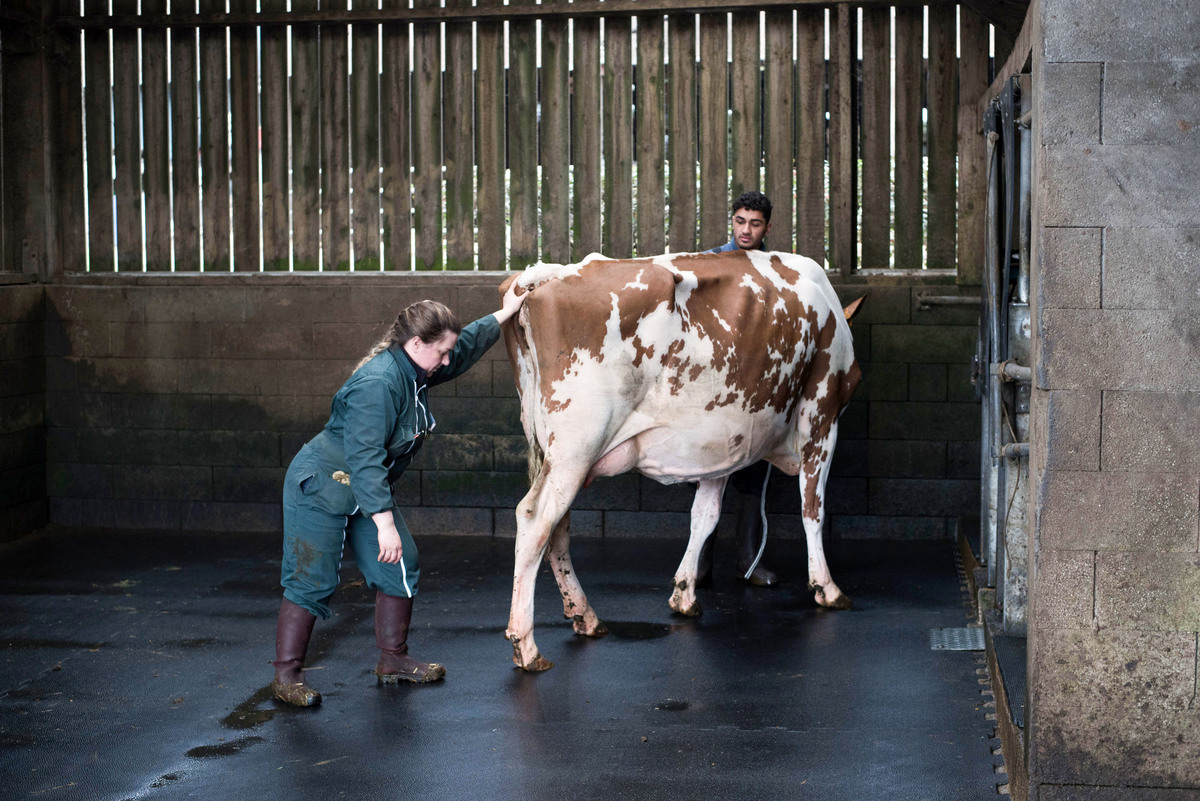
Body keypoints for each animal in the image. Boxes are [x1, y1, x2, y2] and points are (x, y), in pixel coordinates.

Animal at [496, 248, 864, 671]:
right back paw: (527, 646)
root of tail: (544, 275)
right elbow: (813, 510)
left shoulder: (724, 442)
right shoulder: (822, 415)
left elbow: (704, 516)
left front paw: (684, 594)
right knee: (535, 519)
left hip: (554, 450)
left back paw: (585, 616)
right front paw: (827, 587)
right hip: (577, 446)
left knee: (558, 527)